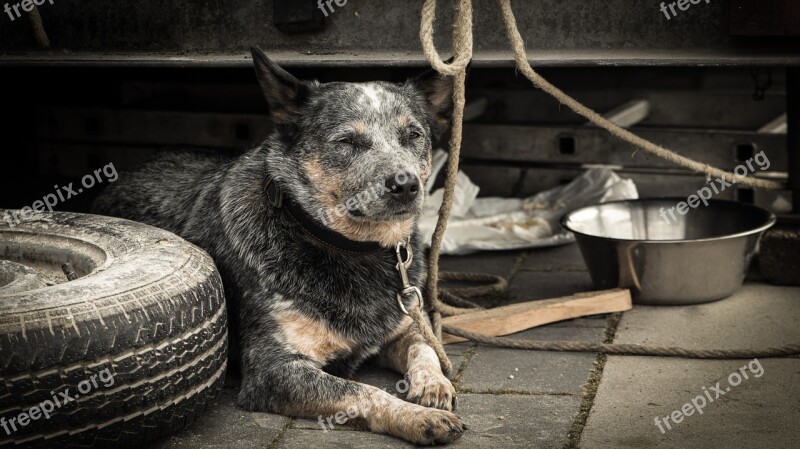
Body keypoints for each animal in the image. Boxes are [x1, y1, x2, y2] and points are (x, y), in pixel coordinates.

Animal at [94, 46, 466, 444]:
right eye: (347, 141)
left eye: (413, 134)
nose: (405, 183)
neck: (349, 247)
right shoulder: (274, 370)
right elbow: (364, 392)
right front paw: (417, 417)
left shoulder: (404, 322)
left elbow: (425, 346)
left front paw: (432, 384)